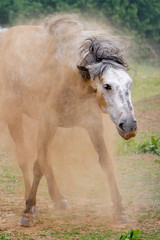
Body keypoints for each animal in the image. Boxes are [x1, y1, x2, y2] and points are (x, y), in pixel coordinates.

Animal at [0, 15, 138, 227]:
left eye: (129, 84)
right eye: (107, 86)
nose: (129, 125)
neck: (71, 78)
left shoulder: (92, 124)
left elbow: (106, 162)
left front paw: (120, 209)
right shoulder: (47, 122)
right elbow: (37, 165)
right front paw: (27, 212)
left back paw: (58, 199)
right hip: (14, 116)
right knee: (25, 158)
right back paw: (32, 202)